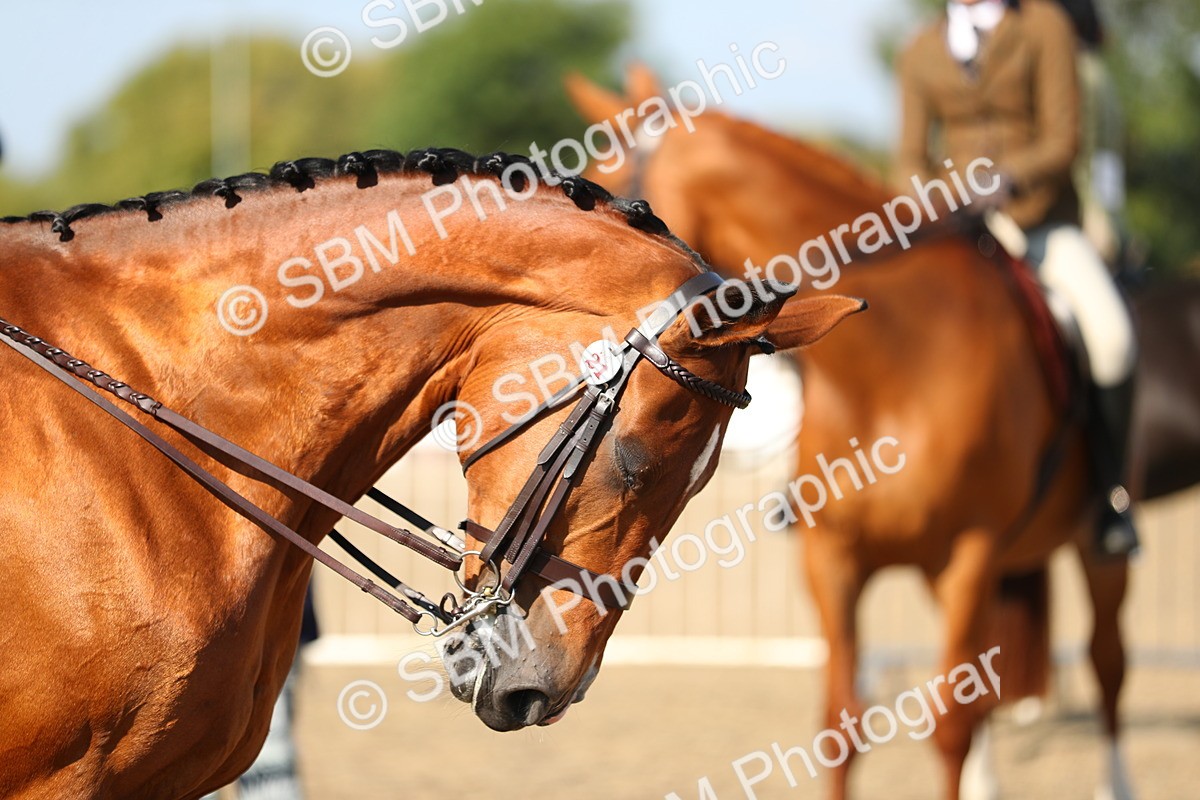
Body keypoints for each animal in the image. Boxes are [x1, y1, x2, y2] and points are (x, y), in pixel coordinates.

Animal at [567, 68, 1148, 800]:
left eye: (606, 193)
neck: (891, 366)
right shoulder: (833, 558)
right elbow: (842, 724)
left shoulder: (971, 553)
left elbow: (950, 726)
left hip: (1092, 555)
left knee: (1106, 663)